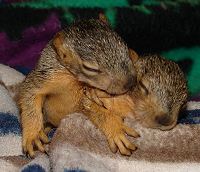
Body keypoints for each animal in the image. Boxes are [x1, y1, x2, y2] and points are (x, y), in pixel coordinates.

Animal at [17, 17, 136, 157]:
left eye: (127, 50)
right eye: (90, 68)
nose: (129, 83)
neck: (73, 79)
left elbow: (95, 108)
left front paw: (115, 127)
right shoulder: (47, 74)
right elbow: (30, 92)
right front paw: (33, 135)